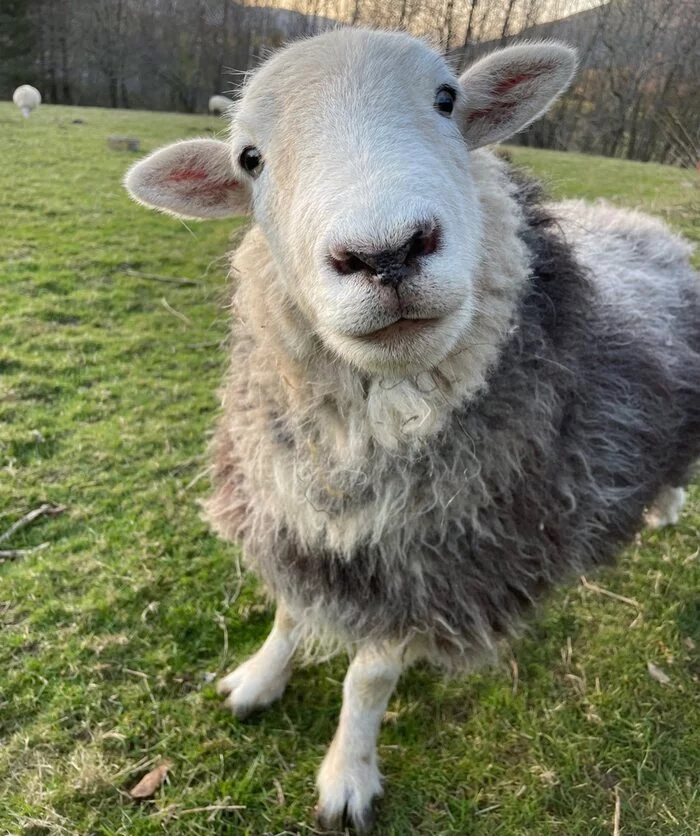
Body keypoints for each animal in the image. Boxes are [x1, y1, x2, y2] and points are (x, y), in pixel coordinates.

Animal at [126, 29, 700, 832]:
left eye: (447, 99)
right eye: (249, 159)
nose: (385, 253)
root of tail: (645, 225)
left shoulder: (435, 567)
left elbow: (367, 681)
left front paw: (347, 774)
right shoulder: (296, 521)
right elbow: (290, 613)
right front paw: (258, 679)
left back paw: (666, 503)